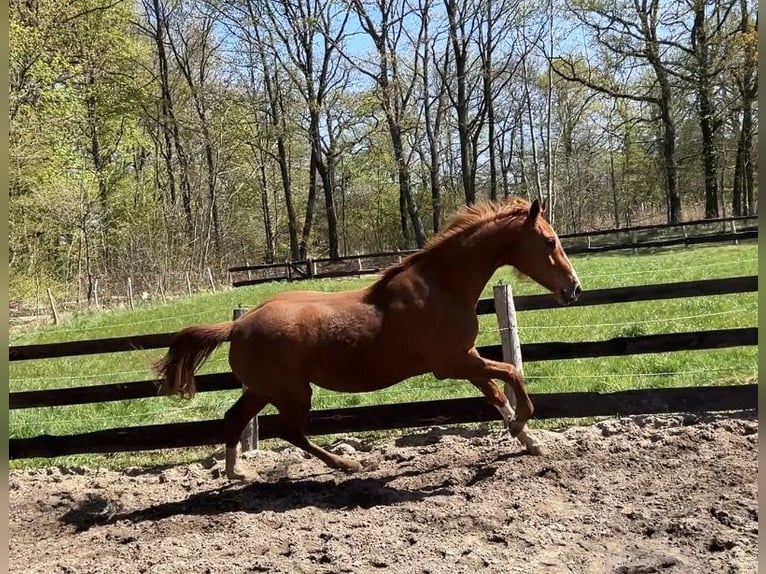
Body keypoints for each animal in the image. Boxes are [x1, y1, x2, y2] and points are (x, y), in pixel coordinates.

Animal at [154, 197, 582, 480]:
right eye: (549, 241)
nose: (574, 289)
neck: (441, 287)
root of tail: (238, 325)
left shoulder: (468, 356)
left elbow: (496, 393)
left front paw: (529, 441)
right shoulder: (452, 363)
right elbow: (512, 372)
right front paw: (522, 423)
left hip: (261, 389)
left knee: (234, 419)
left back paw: (238, 474)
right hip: (292, 392)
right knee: (290, 431)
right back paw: (349, 463)